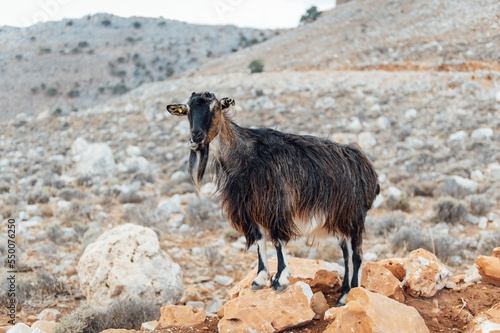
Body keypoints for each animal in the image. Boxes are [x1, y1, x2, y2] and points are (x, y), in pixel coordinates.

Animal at [167, 92, 378, 304]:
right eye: (187, 110)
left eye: (215, 108)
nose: (196, 137)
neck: (244, 155)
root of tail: (366, 168)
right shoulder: (250, 209)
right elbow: (260, 240)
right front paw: (260, 279)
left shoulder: (276, 205)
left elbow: (277, 240)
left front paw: (280, 279)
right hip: (340, 220)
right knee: (347, 254)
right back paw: (343, 295)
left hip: (354, 216)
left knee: (356, 254)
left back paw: (351, 293)